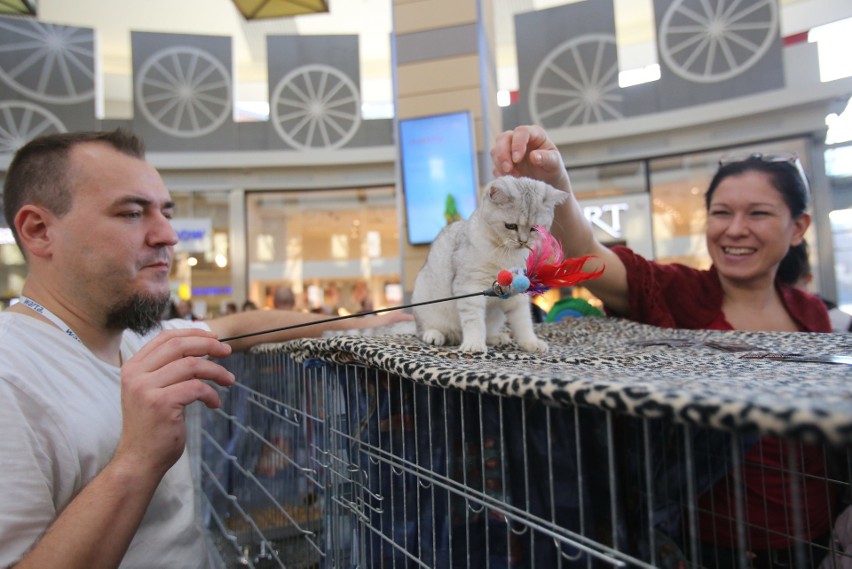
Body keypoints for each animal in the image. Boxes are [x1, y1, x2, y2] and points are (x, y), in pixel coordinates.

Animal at [412, 175, 564, 352]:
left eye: (535, 228)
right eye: (510, 226)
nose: (523, 241)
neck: (504, 251)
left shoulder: (516, 292)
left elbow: (523, 321)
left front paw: (530, 342)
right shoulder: (470, 287)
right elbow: (474, 322)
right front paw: (474, 344)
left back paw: (496, 338)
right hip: (424, 301)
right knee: (425, 328)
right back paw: (435, 335)